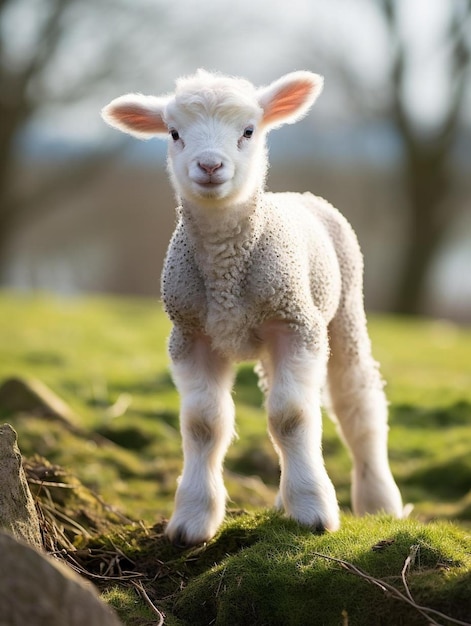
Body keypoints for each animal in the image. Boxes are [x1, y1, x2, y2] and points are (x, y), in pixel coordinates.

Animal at [101, 68, 404, 544]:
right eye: (174, 133)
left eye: (248, 131)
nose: (209, 166)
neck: (226, 265)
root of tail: (300, 194)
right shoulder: (190, 334)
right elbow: (204, 424)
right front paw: (192, 520)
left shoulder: (296, 324)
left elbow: (291, 417)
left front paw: (313, 512)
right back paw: (283, 500)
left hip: (342, 309)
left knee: (357, 401)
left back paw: (378, 502)